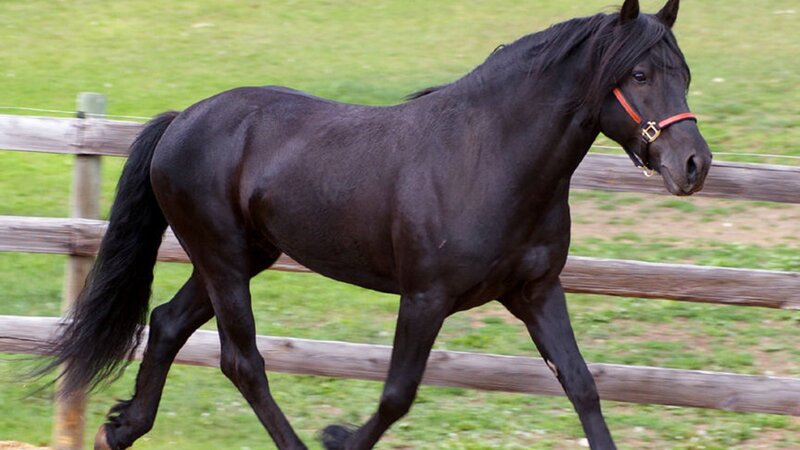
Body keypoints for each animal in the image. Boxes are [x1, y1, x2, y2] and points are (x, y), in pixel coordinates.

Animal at [45, 0, 711, 448]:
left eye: (684, 74)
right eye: (640, 75)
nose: (694, 165)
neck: (487, 158)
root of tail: (182, 120)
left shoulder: (536, 292)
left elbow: (581, 384)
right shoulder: (425, 298)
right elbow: (397, 394)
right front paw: (338, 438)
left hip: (240, 257)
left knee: (166, 324)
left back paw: (122, 429)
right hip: (223, 259)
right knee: (242, 361)